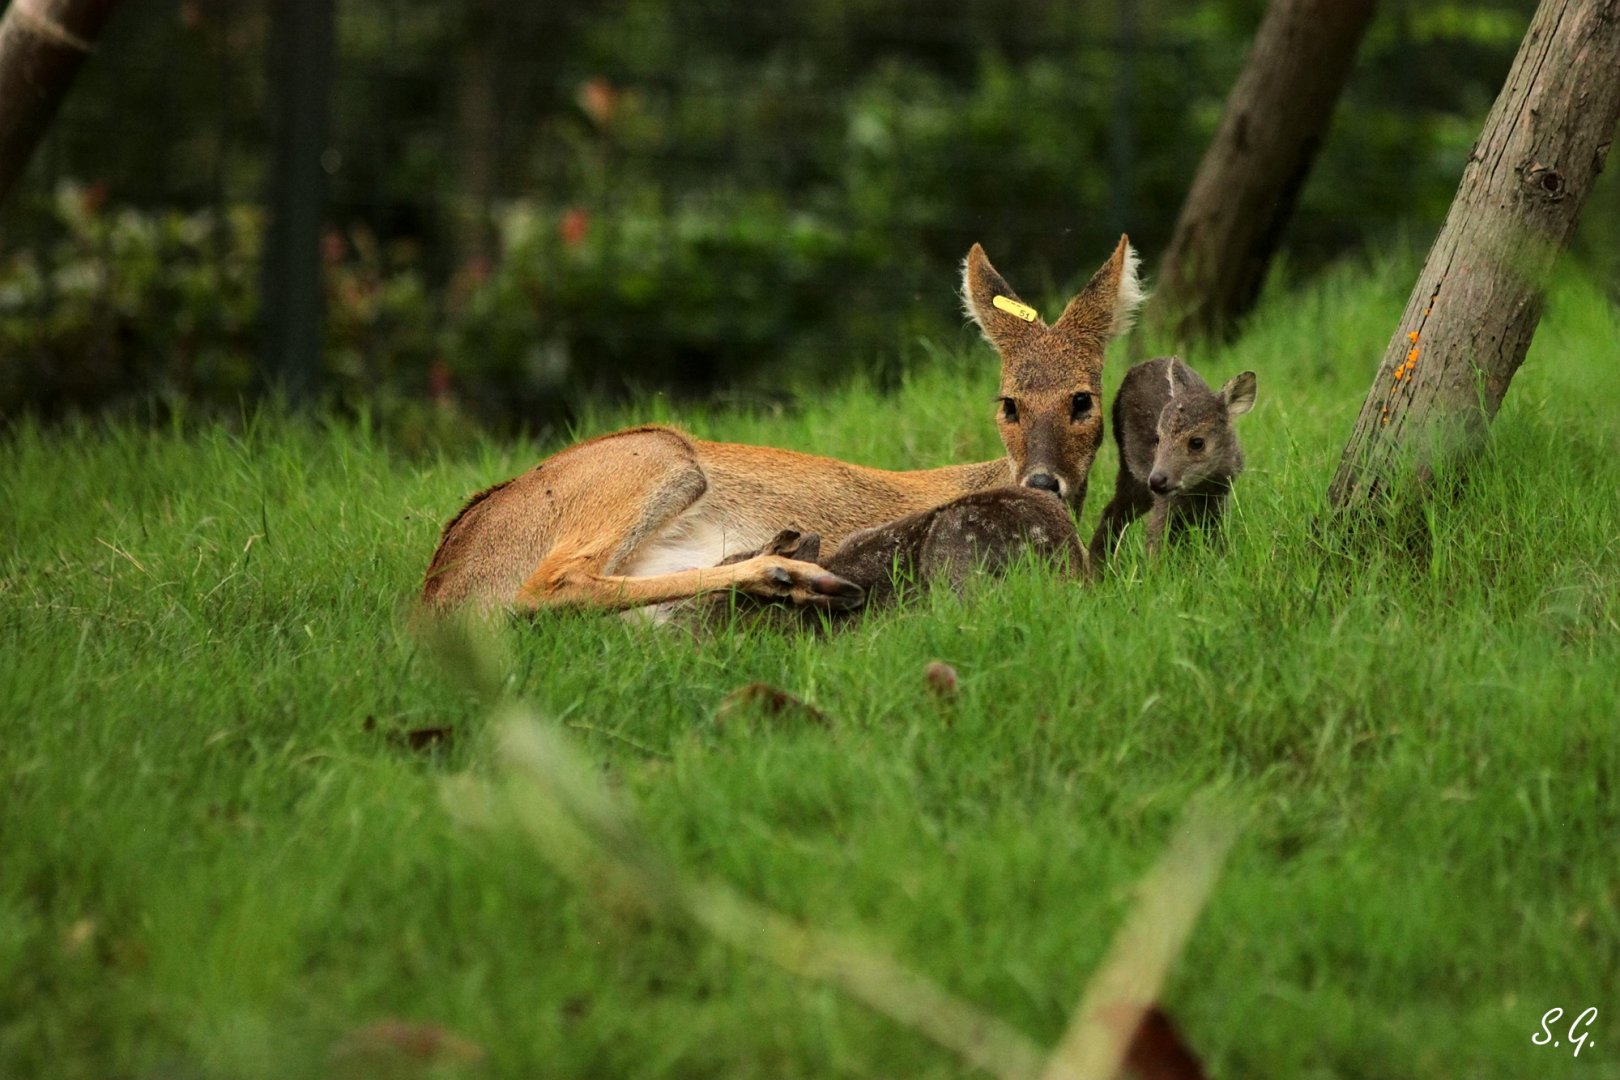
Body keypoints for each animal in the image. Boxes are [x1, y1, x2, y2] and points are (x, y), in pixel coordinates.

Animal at [420, 237, 1143, 614]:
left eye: (1083, 400)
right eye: (1008, 404)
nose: (1043, 483)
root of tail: (439, 591)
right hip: (657, 452)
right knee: (546, 585)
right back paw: (789, 573)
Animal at [1088, 356, 1257, 566]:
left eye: (1197, 442)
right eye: (1157, 438)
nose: (1157, 480)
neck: (1200, 490)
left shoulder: (1218, 503)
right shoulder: (1164, 503)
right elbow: (1155, 543)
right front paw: (1154, 572)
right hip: (1132, 476)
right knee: (1113, 513)